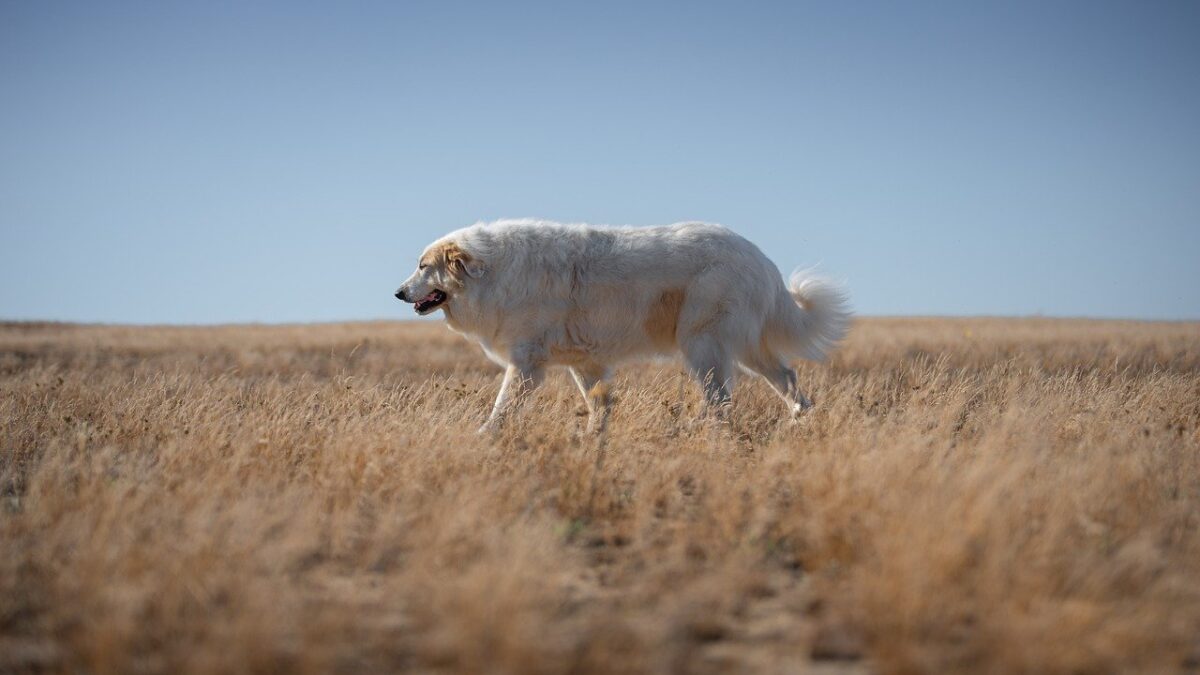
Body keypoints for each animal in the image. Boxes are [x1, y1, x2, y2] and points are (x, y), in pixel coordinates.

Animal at [398, 218, 849, 432]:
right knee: (787, 378)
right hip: (746, 349)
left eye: (423, 266)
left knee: (720, 400)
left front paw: (483, 436)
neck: (494, 272)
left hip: (702, 345)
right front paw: (593, 442)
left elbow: (502, 407)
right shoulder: (585, 364)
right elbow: (598, 408)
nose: (398, 293)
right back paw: (799, 421)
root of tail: (759, 256)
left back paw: (699, 432)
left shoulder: (526, 365)